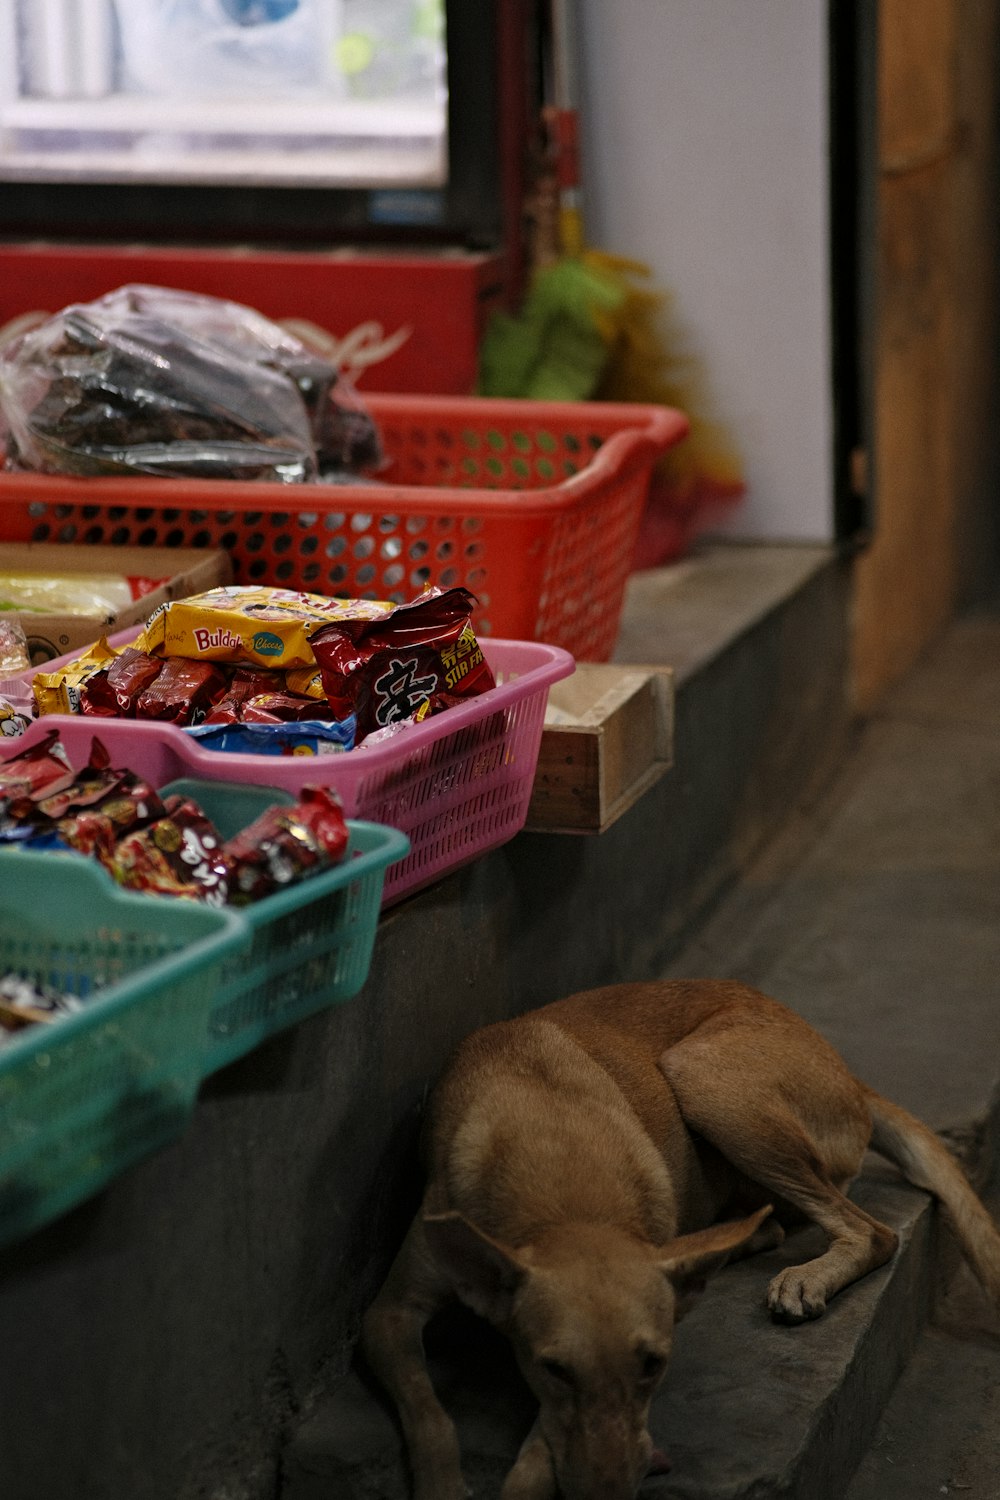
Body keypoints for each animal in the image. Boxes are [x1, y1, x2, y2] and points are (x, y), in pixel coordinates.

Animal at [364, 978, 1000, 1500]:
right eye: (555, 1369)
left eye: (655, 1365)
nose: (613, 1489)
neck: (559, 1174)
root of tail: (850, 1075)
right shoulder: (390, 1314)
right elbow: (429, 1415)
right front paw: (443, 1484)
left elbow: (536, 1453)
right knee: (776, 1223)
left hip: (705, 1078)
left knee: (871, 1231)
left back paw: (802, 1275)